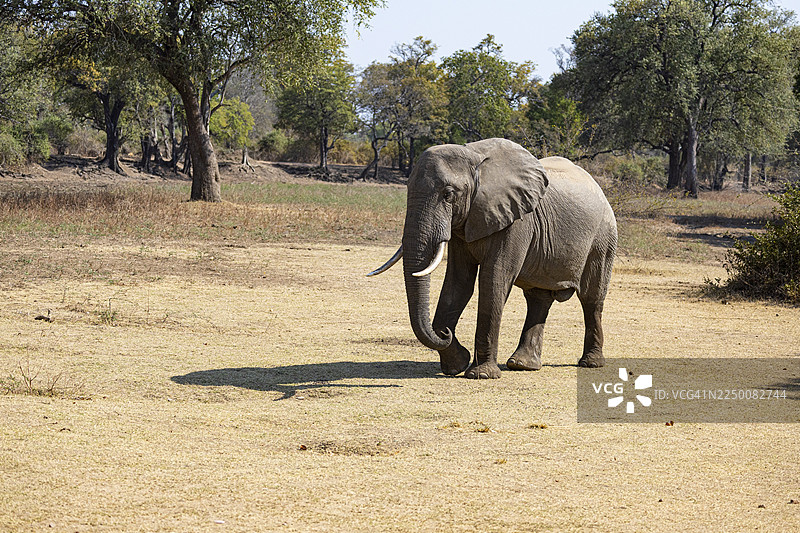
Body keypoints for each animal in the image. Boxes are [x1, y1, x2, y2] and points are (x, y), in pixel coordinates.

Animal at [368, 138, 617, 379]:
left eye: (448, 194)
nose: (445, 333)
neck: (475, 158)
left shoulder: (516, 221)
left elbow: (493, 280)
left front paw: (481, 374)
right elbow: (458, 282)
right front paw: (456, 365)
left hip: (602, 239)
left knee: (591, 299)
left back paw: (590, 363)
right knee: (538, 298)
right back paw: (522, 365)